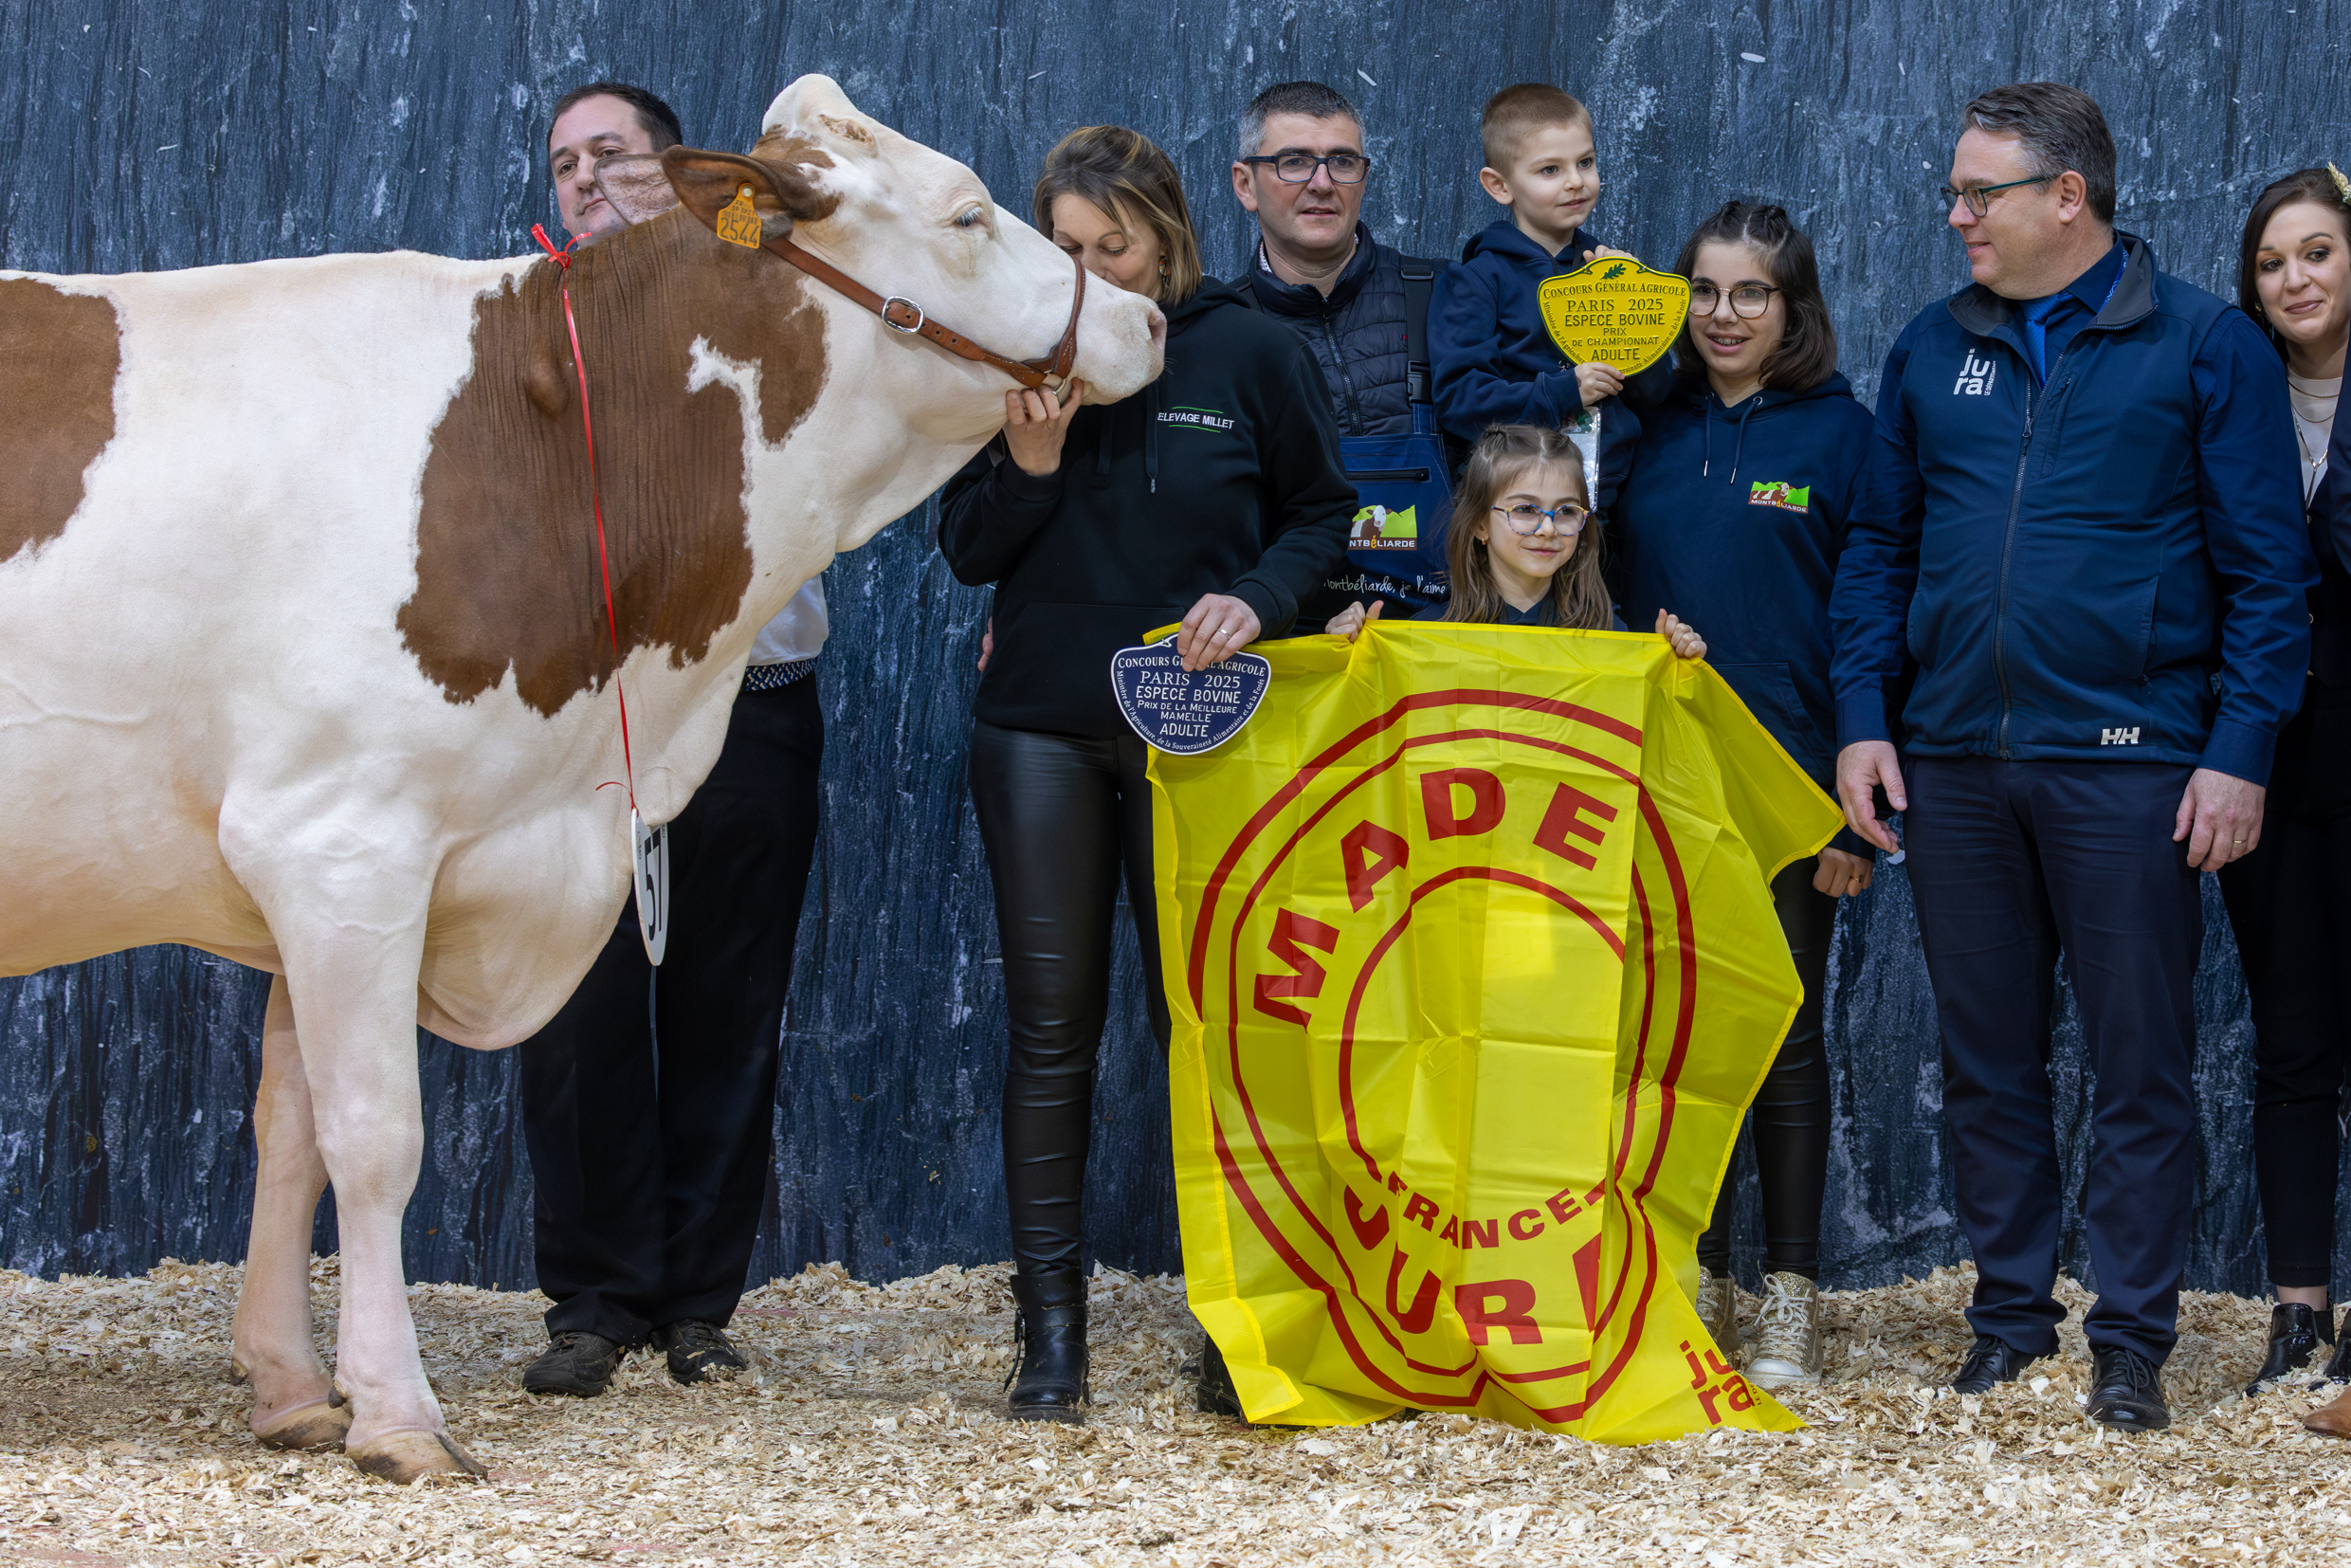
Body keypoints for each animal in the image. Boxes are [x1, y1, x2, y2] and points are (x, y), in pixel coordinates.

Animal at [0, 76, 1161, 1486]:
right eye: (966, 213)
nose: (1147, 317)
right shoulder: (341, 840)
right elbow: (373, 1138)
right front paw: (399, 1415)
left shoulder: (304, 862)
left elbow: (287, 1132)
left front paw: (290, 1387)